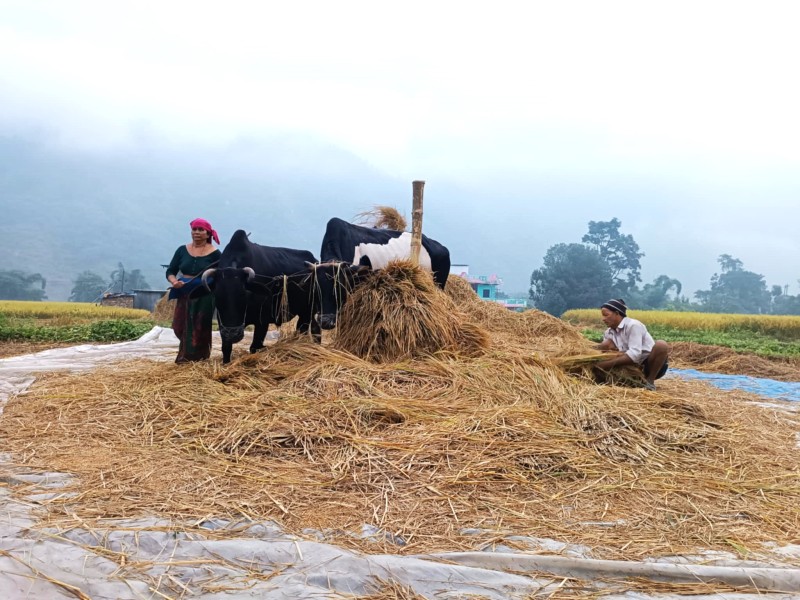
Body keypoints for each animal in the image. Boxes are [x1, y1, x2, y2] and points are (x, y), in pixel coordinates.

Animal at [202, 229, 320, 360]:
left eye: (244, 294)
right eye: (217, 296)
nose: (233, 334)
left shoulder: (262, 321)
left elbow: (255, 347)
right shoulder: (222, 323)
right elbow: (226, 349)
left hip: (308, 310)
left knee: (305, 330)